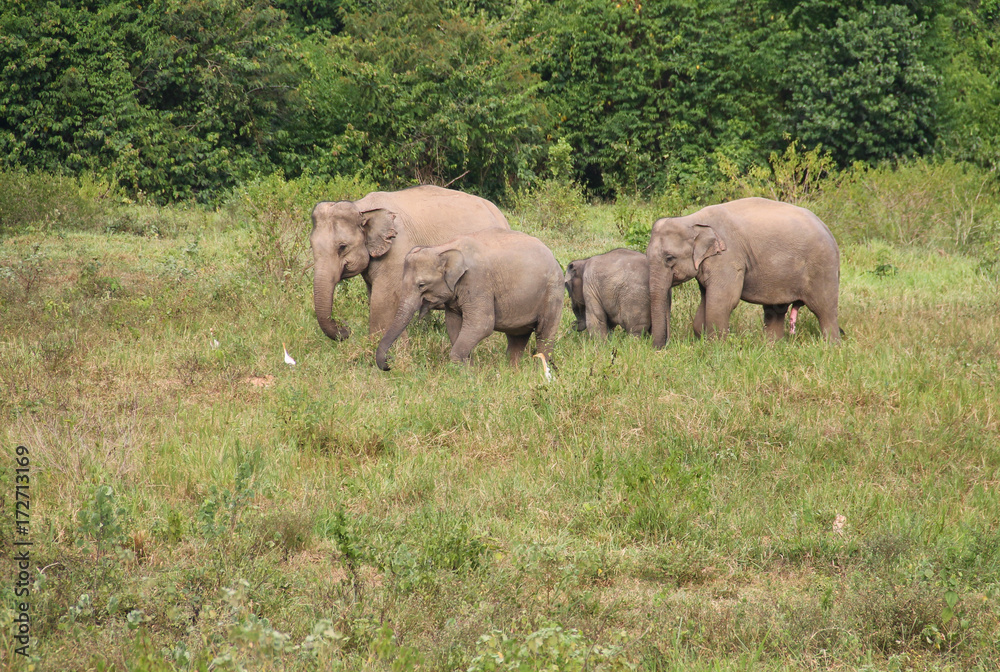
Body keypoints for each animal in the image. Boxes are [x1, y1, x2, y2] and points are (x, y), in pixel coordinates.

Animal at [310, 185, 510, 341]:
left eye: (342, 247)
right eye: (311, 246)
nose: (346, 329)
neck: (362, 207)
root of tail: (501, 215)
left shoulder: (398, 249)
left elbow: (382, 300)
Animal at [376, 229, 564, 370]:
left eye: (421, 285)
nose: (389, 362)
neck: (443, 248)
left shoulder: (478, 282)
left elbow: (482, 324)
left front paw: (464, 369)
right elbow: (453, 324)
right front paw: (469, 368)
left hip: (553, 291)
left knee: (544, 334)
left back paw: (540, 371)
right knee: (517, 337)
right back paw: (512, 371)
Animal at [646, 197, 841, 347]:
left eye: (669, 258)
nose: (660, 348)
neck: (691, 220)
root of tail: (827, 228)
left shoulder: (728, 257)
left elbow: (722, 301)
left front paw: (716, 348)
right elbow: (706, 300)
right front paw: (703, 340)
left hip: (823, 267)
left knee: (825, 310)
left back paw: (831, 348)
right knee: (775, 311)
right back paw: (772, 348)